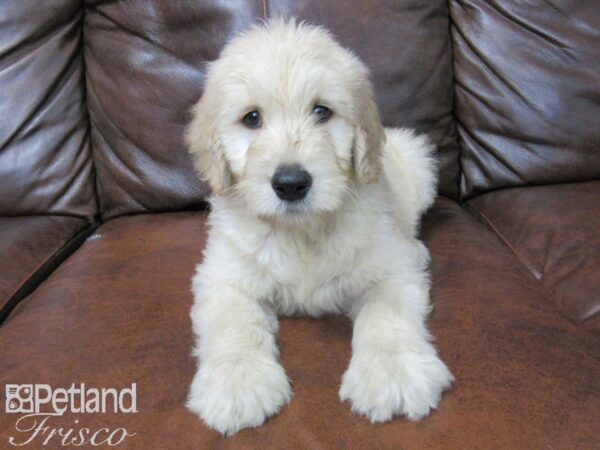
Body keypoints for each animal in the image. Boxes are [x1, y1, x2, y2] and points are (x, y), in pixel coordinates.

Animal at [185, 18, 452, 436]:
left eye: (322, 111)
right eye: (252, 118)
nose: (291, 183)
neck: (303, 232)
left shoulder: (390, 271)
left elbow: (387, 312)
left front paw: (392, 371)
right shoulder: (223, 275)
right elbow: (234, 321)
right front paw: (238, 382)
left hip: (417, 161)